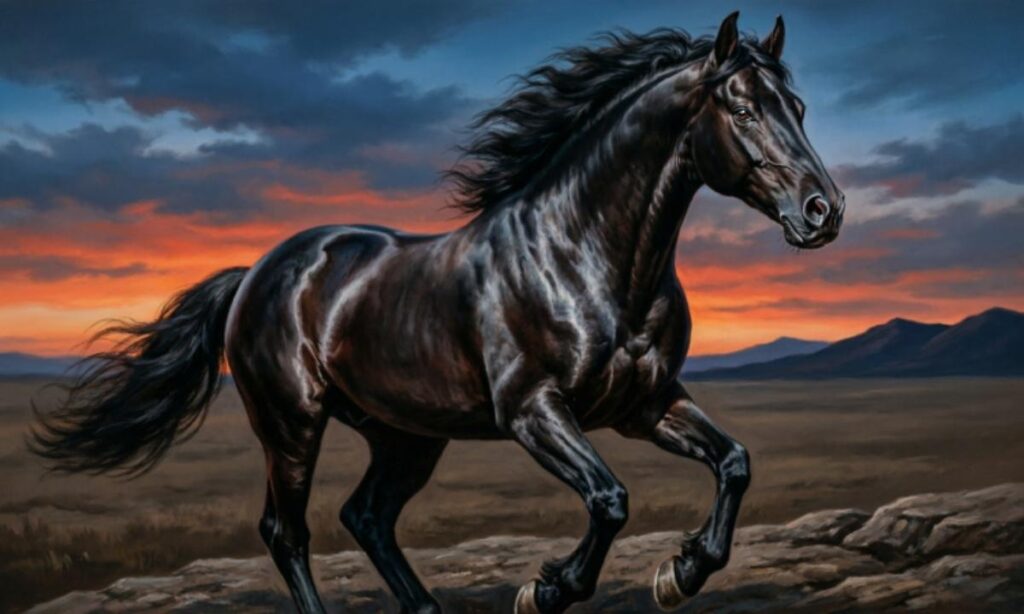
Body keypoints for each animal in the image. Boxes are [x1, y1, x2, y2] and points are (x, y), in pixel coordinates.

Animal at [31, 12, 844, 614]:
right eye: (742, 107)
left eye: (800, 108)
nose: (823, 211)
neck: (585, 256)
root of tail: (258, 272)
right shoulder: (533, 412)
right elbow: (610, 500)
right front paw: (547, 589)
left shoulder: (645, 405)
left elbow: (734, 463)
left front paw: (682, 572)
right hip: (292, 423)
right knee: (286, 531)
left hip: (405, 436)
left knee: (366, 516)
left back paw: (424, 607)